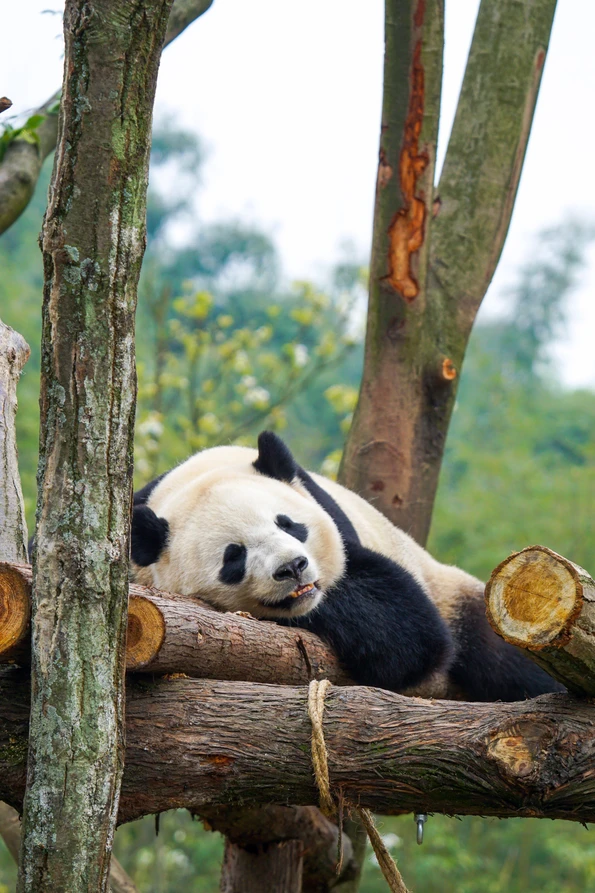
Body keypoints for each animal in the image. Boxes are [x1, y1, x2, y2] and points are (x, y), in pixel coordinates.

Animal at [131, 431, 562, 701]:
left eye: (288, 524)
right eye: (234, 556)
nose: (293, 567)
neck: (194, 475)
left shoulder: (330, 513)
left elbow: (404, 627)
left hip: (454, 592)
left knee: (502, 659)